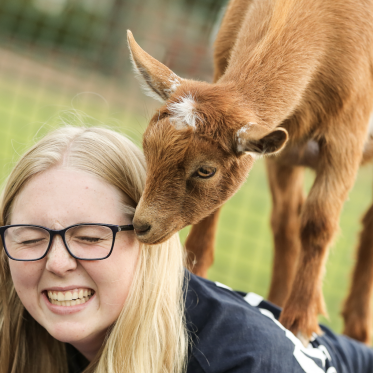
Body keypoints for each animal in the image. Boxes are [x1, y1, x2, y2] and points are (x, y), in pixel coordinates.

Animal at [127, 0, 372, 342]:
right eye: (148, 148)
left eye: (205, 170)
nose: (141, 225)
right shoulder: (282, 148)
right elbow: (274, 220)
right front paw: (197, 272)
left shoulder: (348, 135)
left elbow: (318, 220)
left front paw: (301, 321)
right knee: (288, 221)